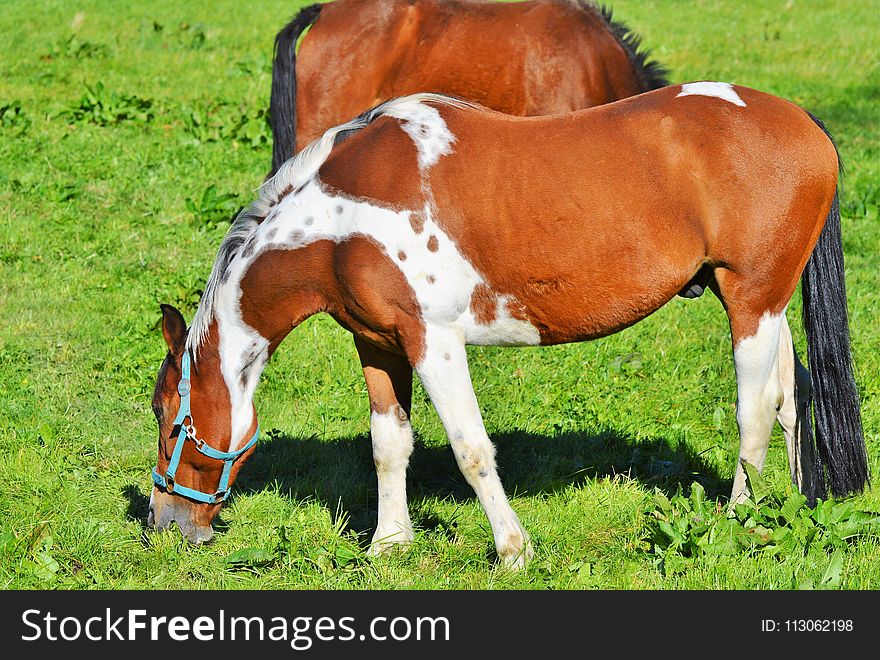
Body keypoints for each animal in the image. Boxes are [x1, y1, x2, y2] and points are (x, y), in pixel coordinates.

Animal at [150, 82, 868, 568]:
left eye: (168, 419)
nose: (165, 524)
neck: (339, 219)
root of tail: (803, 121)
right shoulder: (379, 344)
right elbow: (389, 445)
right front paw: (390, 543)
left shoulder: (434, 341)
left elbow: (470, 448)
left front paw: (513, 548)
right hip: (759, 303)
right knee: (791, 396)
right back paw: (786, 508)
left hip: (752, 302)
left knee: (756, 409)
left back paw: (737, 519)